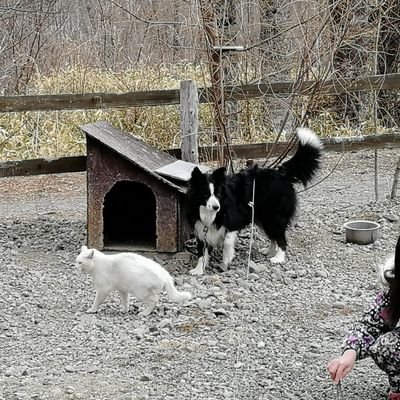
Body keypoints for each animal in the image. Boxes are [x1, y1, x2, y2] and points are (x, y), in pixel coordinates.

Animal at [186, 127, 324, 276]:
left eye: (217, 194)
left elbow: (227, 241)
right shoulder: (201, 227)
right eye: (205, 194)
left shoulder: (233, 220)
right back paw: (269, 251)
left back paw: (278, 258)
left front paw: (227, 259)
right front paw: (199, 269)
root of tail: (282, 174)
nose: (216, 207)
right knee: (273, 236)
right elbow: (202, 251)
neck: (209, 213)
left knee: (281, 238)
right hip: (265, 218)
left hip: (275, 216)